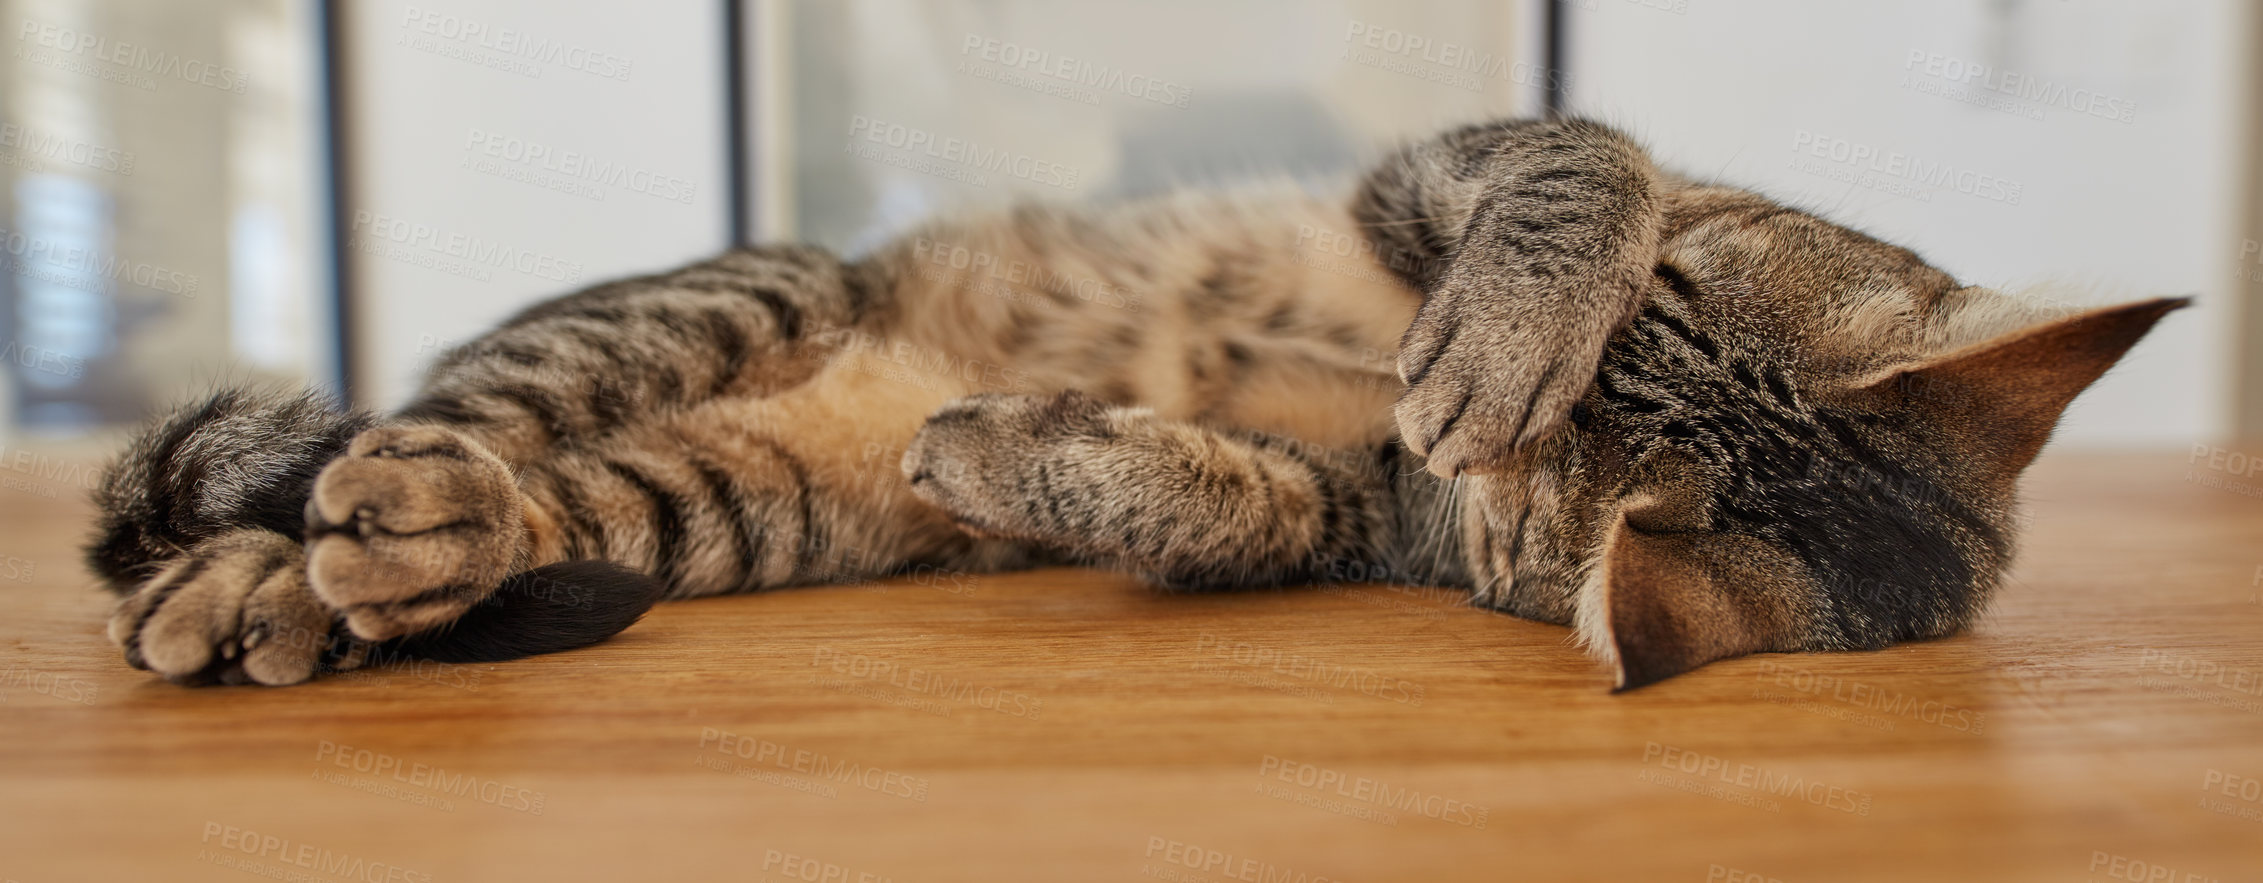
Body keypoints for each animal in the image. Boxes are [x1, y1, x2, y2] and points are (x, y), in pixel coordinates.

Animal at [83, 117, 2172, 688]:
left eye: (1540, 483)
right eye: (1633, 324)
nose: (1437, 394)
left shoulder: (1358, 507)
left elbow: (1232, 502)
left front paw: (1027, 447)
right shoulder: (1427, 178)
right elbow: (1579, 158)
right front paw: (1505, 320)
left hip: (718, 503)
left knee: (506, 503)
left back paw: (331, 579)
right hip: (711, 305)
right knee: (408, 430)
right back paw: (262, 570)